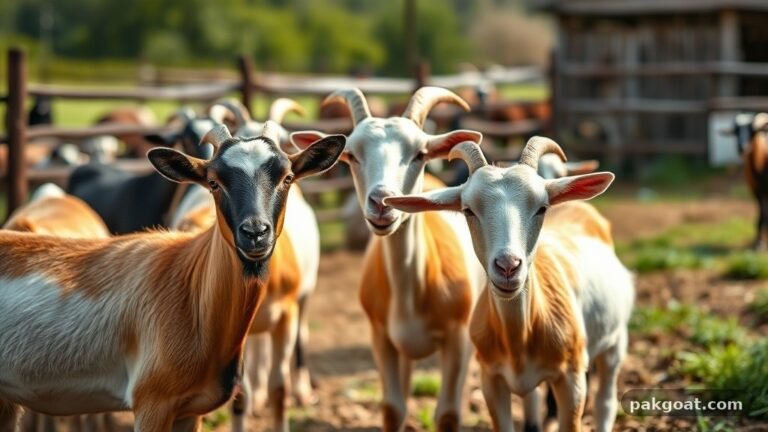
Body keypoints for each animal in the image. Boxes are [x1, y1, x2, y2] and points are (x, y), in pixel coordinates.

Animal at [0, 123, 345, 431]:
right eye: (214, 182)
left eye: (287, 177)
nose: (255, 233)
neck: (189, 286)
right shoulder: (152, 403)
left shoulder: (189, 410)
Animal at [292, 87, 486, 430]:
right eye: (352, 155)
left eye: (420, 154)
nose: (382, 202)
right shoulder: (381, 338)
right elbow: (393, 408)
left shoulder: (458, 339)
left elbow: (448, 413)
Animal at [385, 138, 634, 432]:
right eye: (468, 210)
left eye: (541, 207)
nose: (507, 266)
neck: (521, 335)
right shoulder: (491, 380)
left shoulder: (572, 380)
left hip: (615, 342)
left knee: (605, 400)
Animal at [725, 113, 768, 249]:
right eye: (736, 131)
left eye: (752, 131)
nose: (742, 148)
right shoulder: (755, 189)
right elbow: (761, 214)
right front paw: (759, 242)